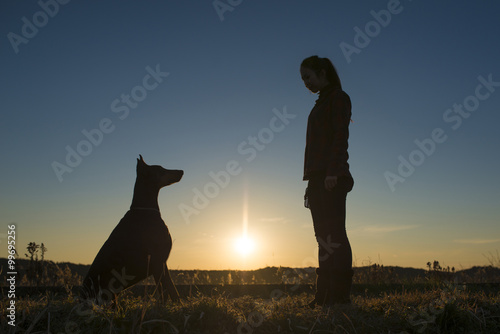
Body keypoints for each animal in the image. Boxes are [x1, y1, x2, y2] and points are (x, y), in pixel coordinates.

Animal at [82, 155, 184, 304]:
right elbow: (169, 290)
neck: (145, 209)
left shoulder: (161, 262)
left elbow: (168, 290)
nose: (181, 171)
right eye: (161, 169)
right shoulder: (157, 260)